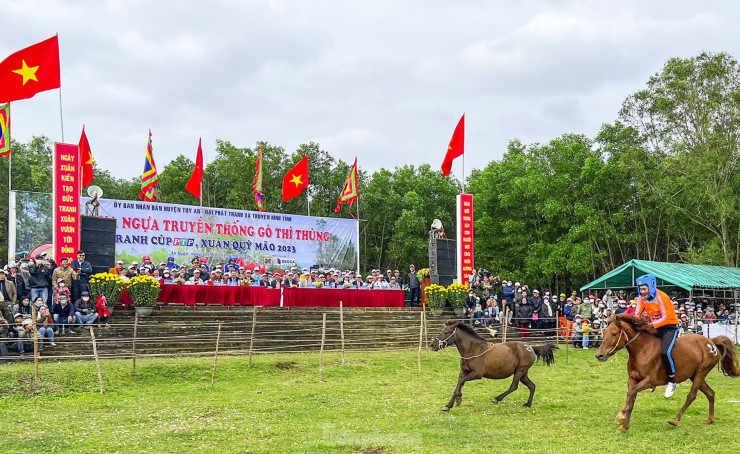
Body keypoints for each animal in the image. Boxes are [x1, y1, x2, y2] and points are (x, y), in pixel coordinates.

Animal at [596, 314, 740, 430]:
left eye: (614, 334)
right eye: (604, 333)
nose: (599, 355)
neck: (642, 350)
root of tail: (711, 342)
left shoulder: (649, 381)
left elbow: (631, 393)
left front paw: (620, 417)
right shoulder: (633, 380)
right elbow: (631, 398)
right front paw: (624, 425)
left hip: (701, 372)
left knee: (692, 396)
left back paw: (675, 419)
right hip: (694, 375)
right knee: (710, 393)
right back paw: (710, 419)